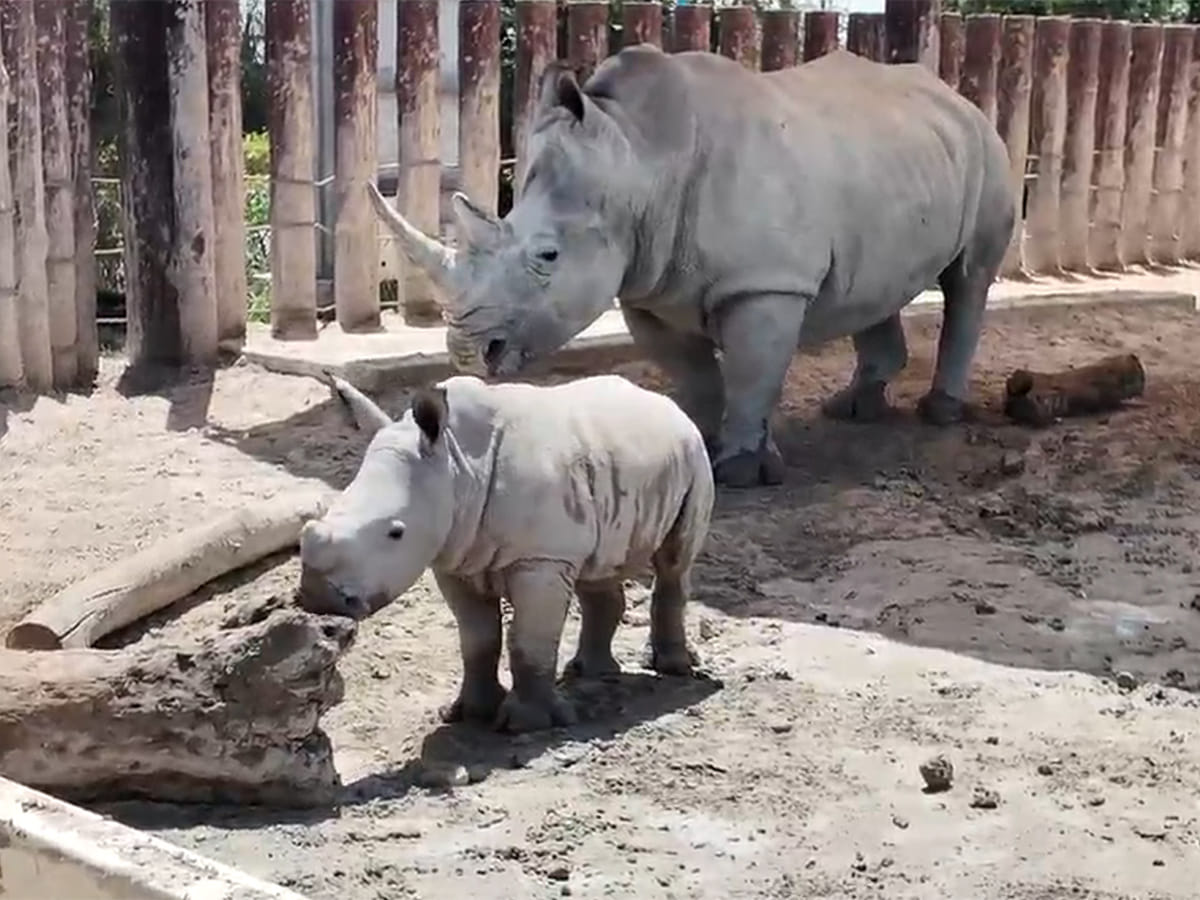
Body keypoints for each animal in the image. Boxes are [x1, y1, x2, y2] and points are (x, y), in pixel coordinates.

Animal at [297, 373, 714, 733]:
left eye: (396, 532)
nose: (318, 597)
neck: (456, 467)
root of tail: (666, 402)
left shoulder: (540, 558)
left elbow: (528, 638)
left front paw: (525, 724)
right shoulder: (455, 558)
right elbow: (478, 639)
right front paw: (469, 713)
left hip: (694, 456)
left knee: (675, 562)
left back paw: (673, 669)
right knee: (598, 567)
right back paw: (590, 673)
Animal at [368, 45, 1015, 489]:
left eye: (547, 257)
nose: (466, 352)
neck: (640, 162)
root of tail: (951, 92)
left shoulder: (766, 285)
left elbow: (753, 373)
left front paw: (742, 471)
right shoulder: (647, 286)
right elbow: (695, 373)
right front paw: (701, 441)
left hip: (988, 146)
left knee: (969, 278)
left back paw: (939, 413)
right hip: (898, 157)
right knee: (876, 284)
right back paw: (854, 410)